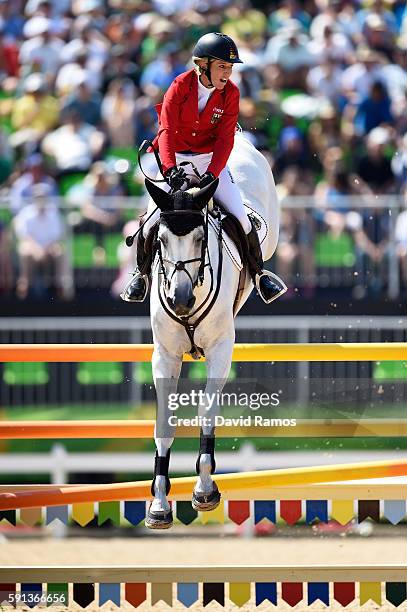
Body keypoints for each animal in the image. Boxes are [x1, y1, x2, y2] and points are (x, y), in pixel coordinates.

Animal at [143, 136, 280, 528]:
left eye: (200, 237)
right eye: (159, 239)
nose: (180, 299)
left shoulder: (220, 349)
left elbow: (206, 410)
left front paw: (204, 489)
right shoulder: (165, 355)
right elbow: (164, 422)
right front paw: (159, 504)